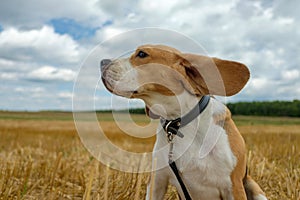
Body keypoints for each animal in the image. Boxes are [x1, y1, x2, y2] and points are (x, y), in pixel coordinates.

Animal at [101, 44, 268, 199]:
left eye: (142, 54)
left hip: (253, 187)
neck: (179, 122)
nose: (102, 62)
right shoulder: (157, 181)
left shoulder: (233, 186)